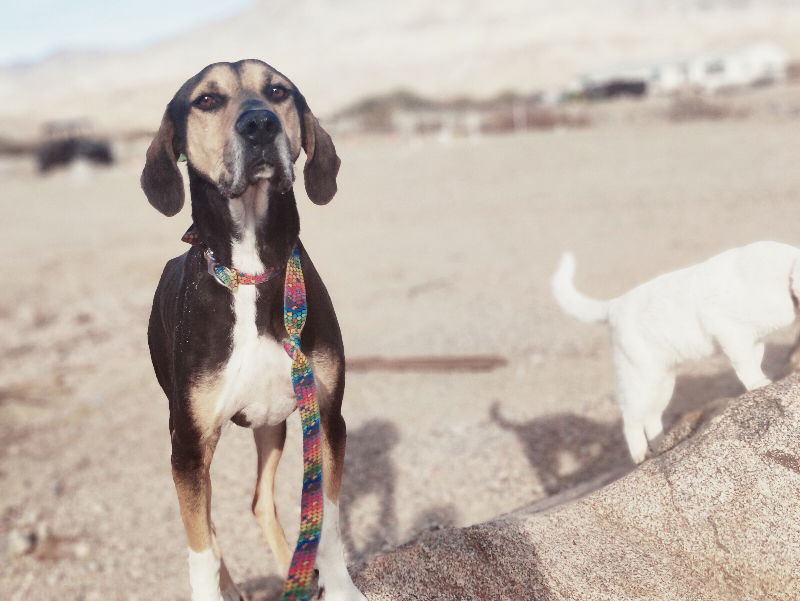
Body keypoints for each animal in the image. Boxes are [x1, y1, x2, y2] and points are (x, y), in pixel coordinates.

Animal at [143, 57, 366, 600]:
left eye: (278, 91)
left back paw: (295, 572)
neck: (251, 269)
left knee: (260, 502)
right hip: (184, 427)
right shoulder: (189, 443)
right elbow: (200, 549)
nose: (260, 125)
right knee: (209, 526)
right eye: (207, 99)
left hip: (273, 423)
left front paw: (339, 586)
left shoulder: (327, 416)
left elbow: (326, 522)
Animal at [552, 241, 800, 462]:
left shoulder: (754, 339)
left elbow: (754, 360)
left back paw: (660, 445)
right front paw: (759, 384)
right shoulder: (726, 328)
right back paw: (640, 455)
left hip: (663, 382)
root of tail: (615, 304)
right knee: (630, 418)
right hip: (639, 377)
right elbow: (745, 364)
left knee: (651, 417)